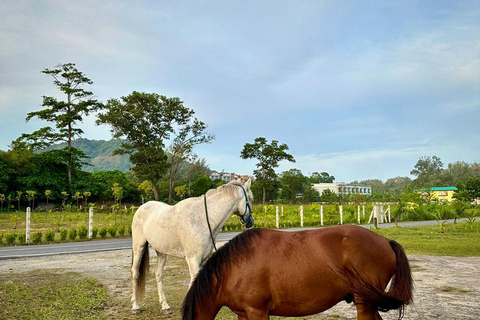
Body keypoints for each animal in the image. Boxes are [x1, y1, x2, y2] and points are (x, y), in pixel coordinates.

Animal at [129, 180, 253, 316]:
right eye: (250, 200)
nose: (251, 222)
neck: (202, 219)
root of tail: (141, 207)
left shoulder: (202, 260)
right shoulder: (193, 260)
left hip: (161, 253)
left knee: (158, 274)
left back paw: (165, 306)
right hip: (139, 247)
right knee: (135, 273)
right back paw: (135, 307)